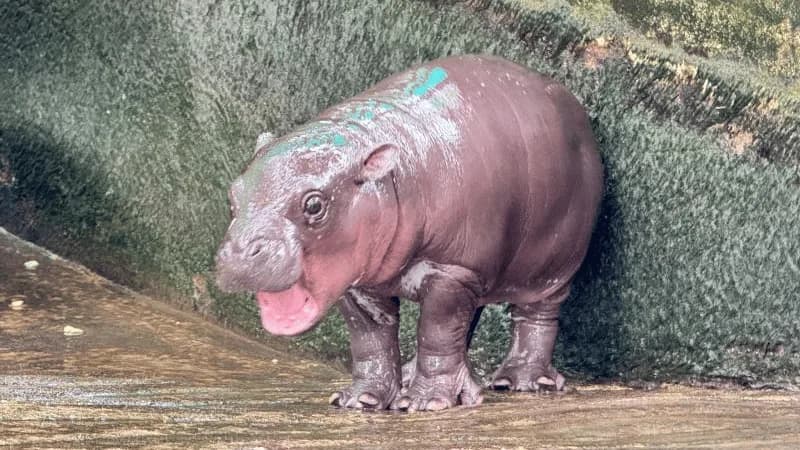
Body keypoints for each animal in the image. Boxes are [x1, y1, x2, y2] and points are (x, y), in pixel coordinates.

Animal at [215, 54, 603, 412]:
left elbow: (437, 333)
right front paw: (361, 399)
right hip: (479, 269)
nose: (239, 253)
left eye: (314, 204)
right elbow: (371, 339)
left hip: (551, 263)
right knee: (467, 322)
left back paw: (521, 381)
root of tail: (564, 95)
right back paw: (417, 375)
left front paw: (427, 402)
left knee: (535, 315)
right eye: (233, 195)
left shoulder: (450, 269)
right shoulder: (361, 280)